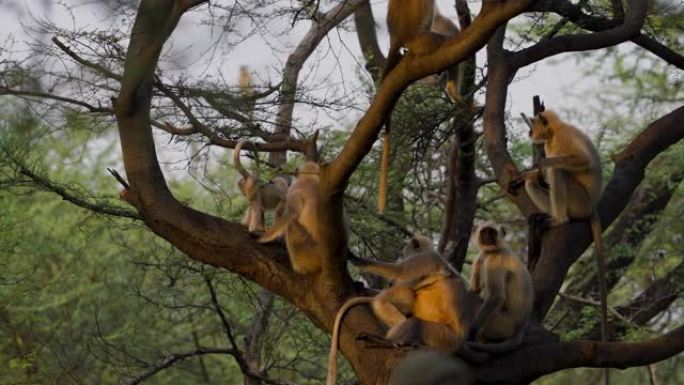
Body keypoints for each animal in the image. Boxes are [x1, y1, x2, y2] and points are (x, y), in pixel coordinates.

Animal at [468, 222, 536, 352]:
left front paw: (472, 331)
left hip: (502, 324)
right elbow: (475, 290)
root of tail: (520, 329)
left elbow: (496, 296)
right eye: (484, 232)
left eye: (492, 232)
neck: (492, 251)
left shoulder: (495, 259)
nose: (488, 237)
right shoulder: (481, 256)